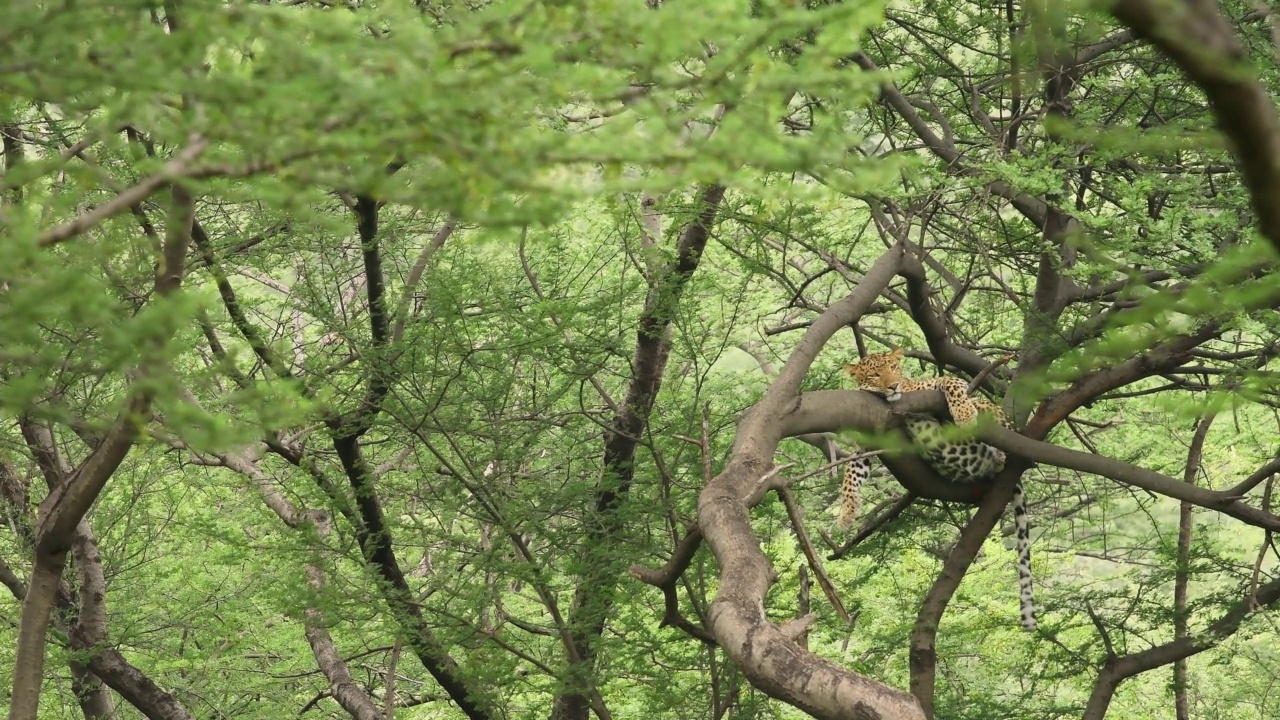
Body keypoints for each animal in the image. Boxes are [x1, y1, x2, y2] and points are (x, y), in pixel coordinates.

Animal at [839, 345, 1039, 627]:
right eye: (876, 375)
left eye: (894, 368)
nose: (893, 386)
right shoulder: (867, 444)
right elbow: (851, 471)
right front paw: (847, 511)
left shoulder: (927, 390)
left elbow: (950, 381)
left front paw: (963, 413)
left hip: (997, 421)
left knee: (988, 413)